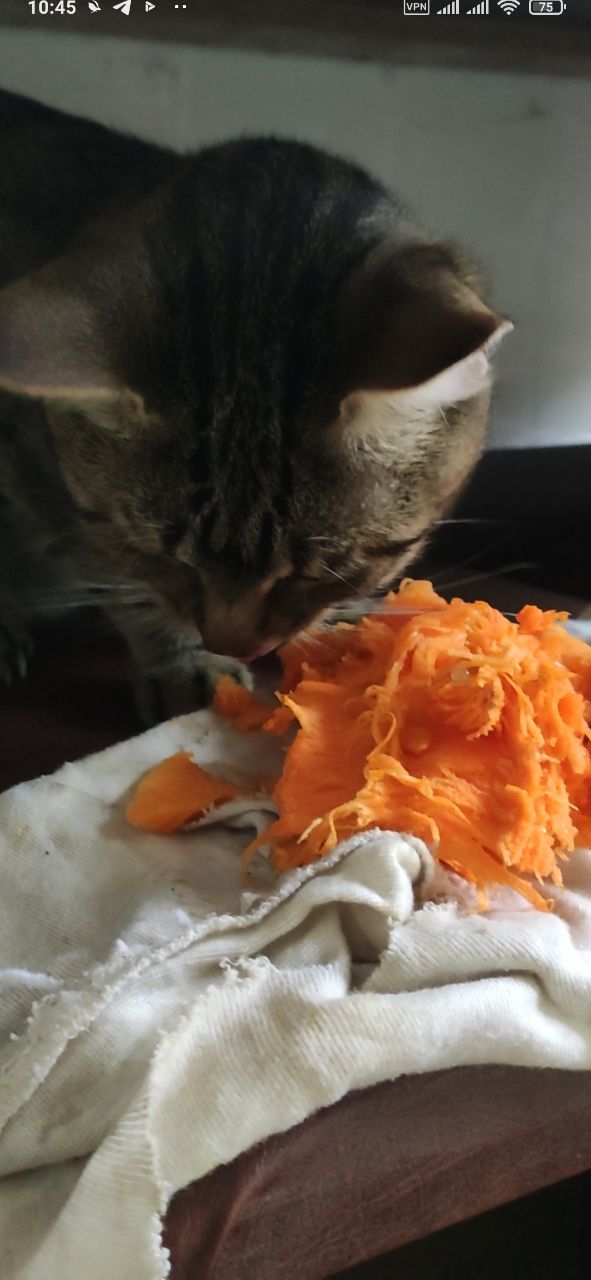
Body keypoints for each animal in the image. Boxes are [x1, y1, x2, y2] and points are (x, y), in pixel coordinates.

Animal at [0, 89, 511, 723]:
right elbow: (127, 585)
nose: (234, 644)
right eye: (162, 555)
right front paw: (181, 661)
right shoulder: (54, 494)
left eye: (323, 572)